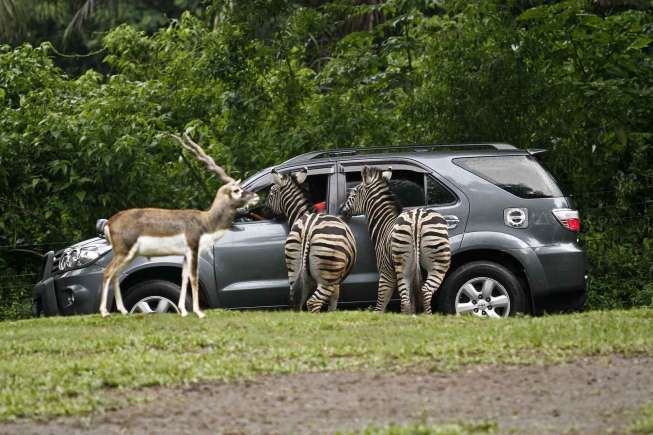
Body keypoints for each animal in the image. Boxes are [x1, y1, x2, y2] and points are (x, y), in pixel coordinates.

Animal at [98, 131, 258, 318]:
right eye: (236, 190)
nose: (256, 196)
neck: (206, 221)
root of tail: (110, 221)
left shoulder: (184, 255)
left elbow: (184, 278)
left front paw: (183, 311)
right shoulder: (193, 249)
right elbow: (194, 277)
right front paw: (199, 312)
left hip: (130, 255)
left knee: (115, 275)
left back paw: (123, 311)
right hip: (124, 252)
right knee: (107, 273)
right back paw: (104, 312)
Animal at [264, 169, 356, 312]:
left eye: (272, 193)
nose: (262, 211)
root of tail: (309, 226)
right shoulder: (336, 281)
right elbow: (333, 302)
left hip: (293, 264)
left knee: (296, 301)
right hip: (328, 275)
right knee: (313, 302)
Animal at [336, 166, 448, 314]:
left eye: (353, 193)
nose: (340, 210)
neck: (384, 224)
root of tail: (416, 218)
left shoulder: (386, 271)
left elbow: (380, 305)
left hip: (406, 266)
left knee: (406, 300)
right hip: (434, 261)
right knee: (423, 292)